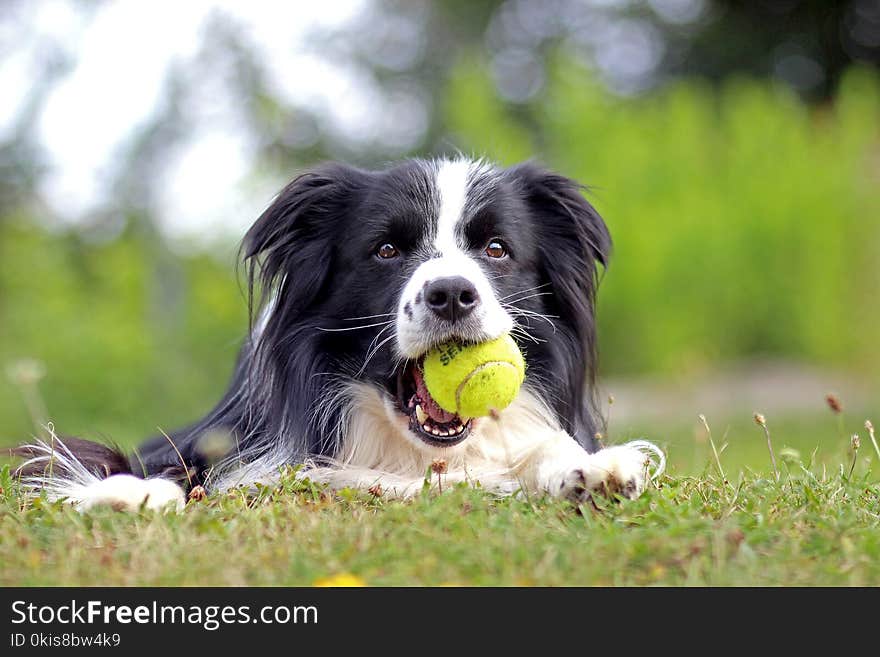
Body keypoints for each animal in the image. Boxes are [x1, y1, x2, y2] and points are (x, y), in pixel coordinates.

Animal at [12, 156, 660, 510]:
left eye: (497, 250)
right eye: (387, 250)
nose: (452, 294)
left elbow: (548, 447)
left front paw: (595, 470)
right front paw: (128, 493)